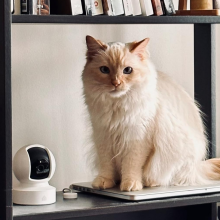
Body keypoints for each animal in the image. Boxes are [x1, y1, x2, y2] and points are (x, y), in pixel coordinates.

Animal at [81, 35, 220, 192]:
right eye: (104, 70)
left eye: (127, 70)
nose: (116, 83)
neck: (117, 105)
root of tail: (198, 167)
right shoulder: (102, 136)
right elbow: (106, 165)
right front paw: (104, 182)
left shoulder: (137, 138)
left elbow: (131, 165)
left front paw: (130, 185)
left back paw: (150, 182)